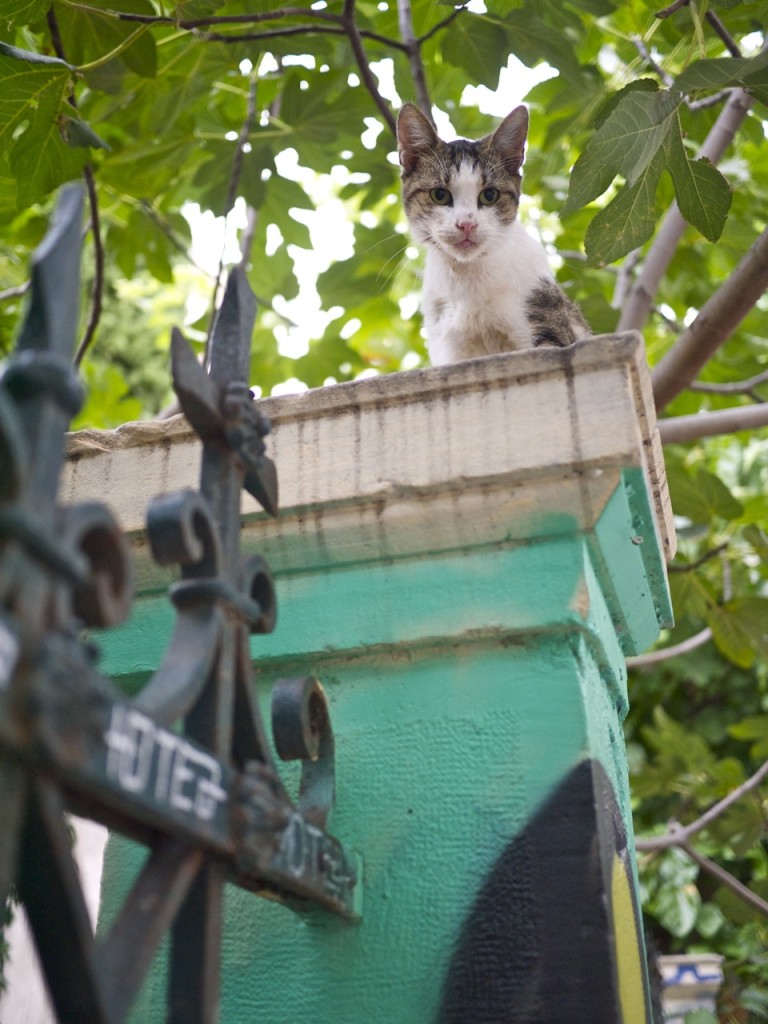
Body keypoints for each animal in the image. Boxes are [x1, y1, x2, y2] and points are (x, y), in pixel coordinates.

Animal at [397, 103, 589, 366]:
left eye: (489, 195)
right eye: (439, 195)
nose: (466, 224)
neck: (468, 279)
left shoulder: (546, 318)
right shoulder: (449, 345)